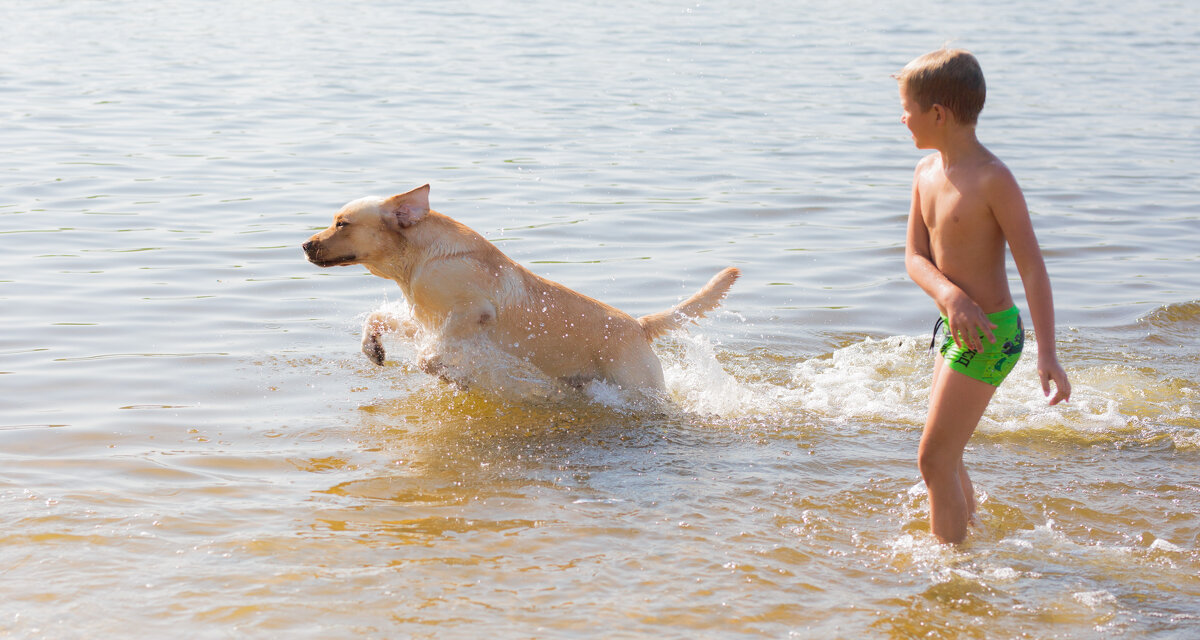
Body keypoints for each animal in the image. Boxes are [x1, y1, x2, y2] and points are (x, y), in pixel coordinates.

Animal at [304, 184, 734, 393]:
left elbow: (429, 357)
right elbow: (380, 318)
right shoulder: (427, 319)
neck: (421, 259)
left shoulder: (472, 313)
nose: (305, 245)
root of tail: (640, 325)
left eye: (342, 223)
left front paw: (453, 375)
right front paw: (373, 348)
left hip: (639, 386)